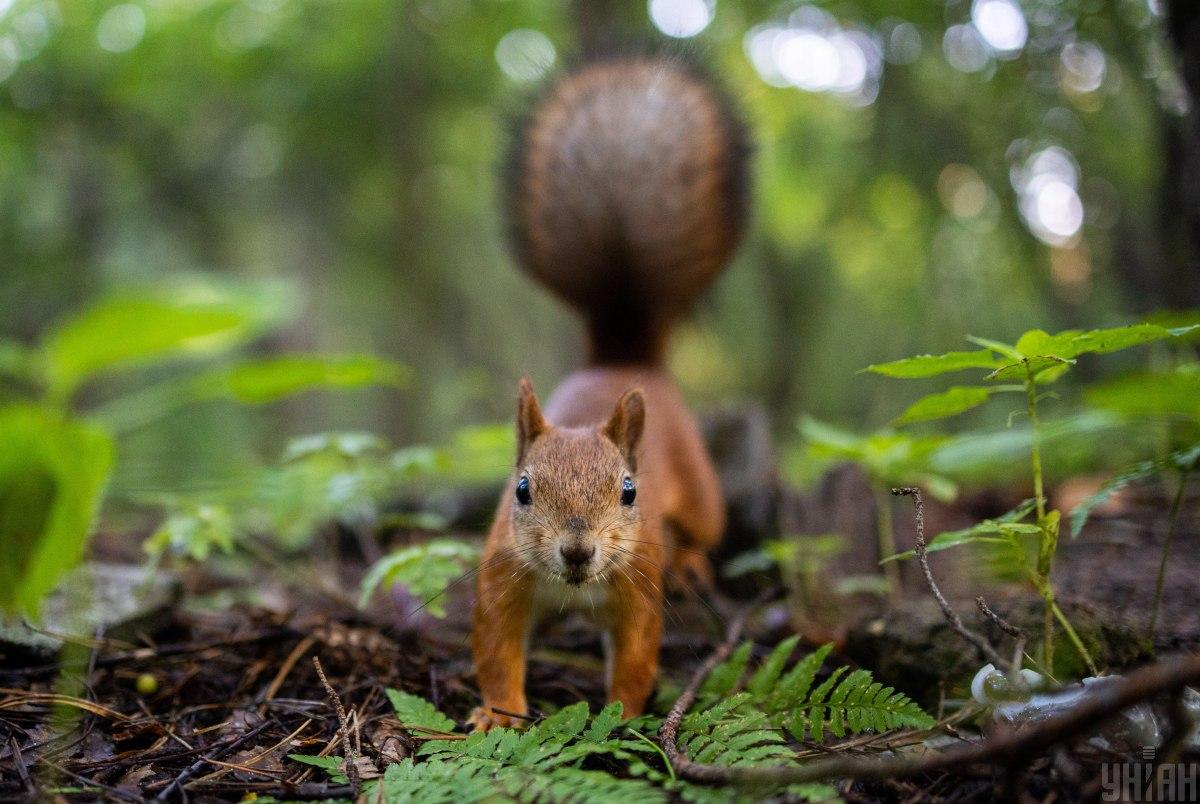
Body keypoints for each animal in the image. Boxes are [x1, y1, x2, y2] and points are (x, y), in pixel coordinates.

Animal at [468, 53, 748, 734]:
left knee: (703, 528)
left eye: (630, 492)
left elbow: (639, 657)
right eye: (520, 489)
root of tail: (622, 358)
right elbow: (495, 648)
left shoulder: (638, 587)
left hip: (701, 491)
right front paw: (500, 717)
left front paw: (621, 716)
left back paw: (692, 561)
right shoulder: (500, 579)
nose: (576, 551)